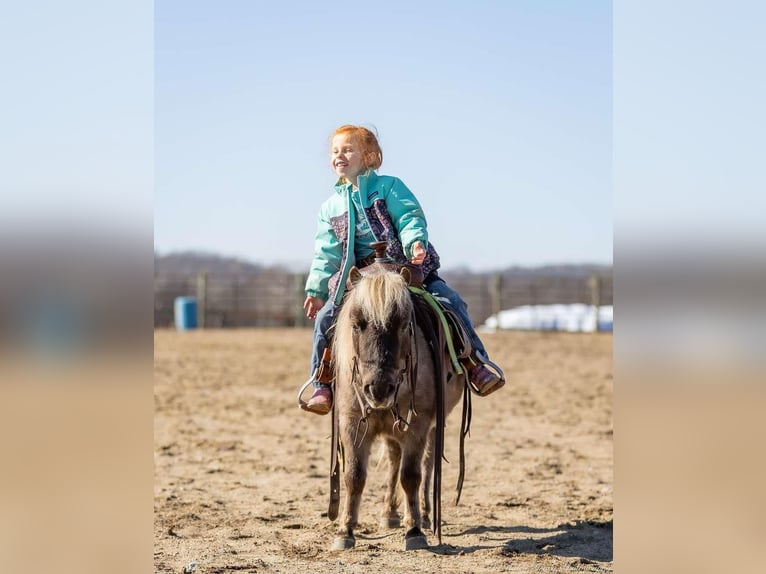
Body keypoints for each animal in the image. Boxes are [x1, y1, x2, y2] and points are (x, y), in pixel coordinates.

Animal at [328, 264, 464, 552]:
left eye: (404, 325)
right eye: (356, 325)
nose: (379, 389)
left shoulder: (417, 425)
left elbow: (411, 475)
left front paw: (413, 530)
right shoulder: (351, 423)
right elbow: (354, 476)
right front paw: (345, 531)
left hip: (432, 426)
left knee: (427, 463)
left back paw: (425, 515)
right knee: (393, 460)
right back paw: (389, 513)